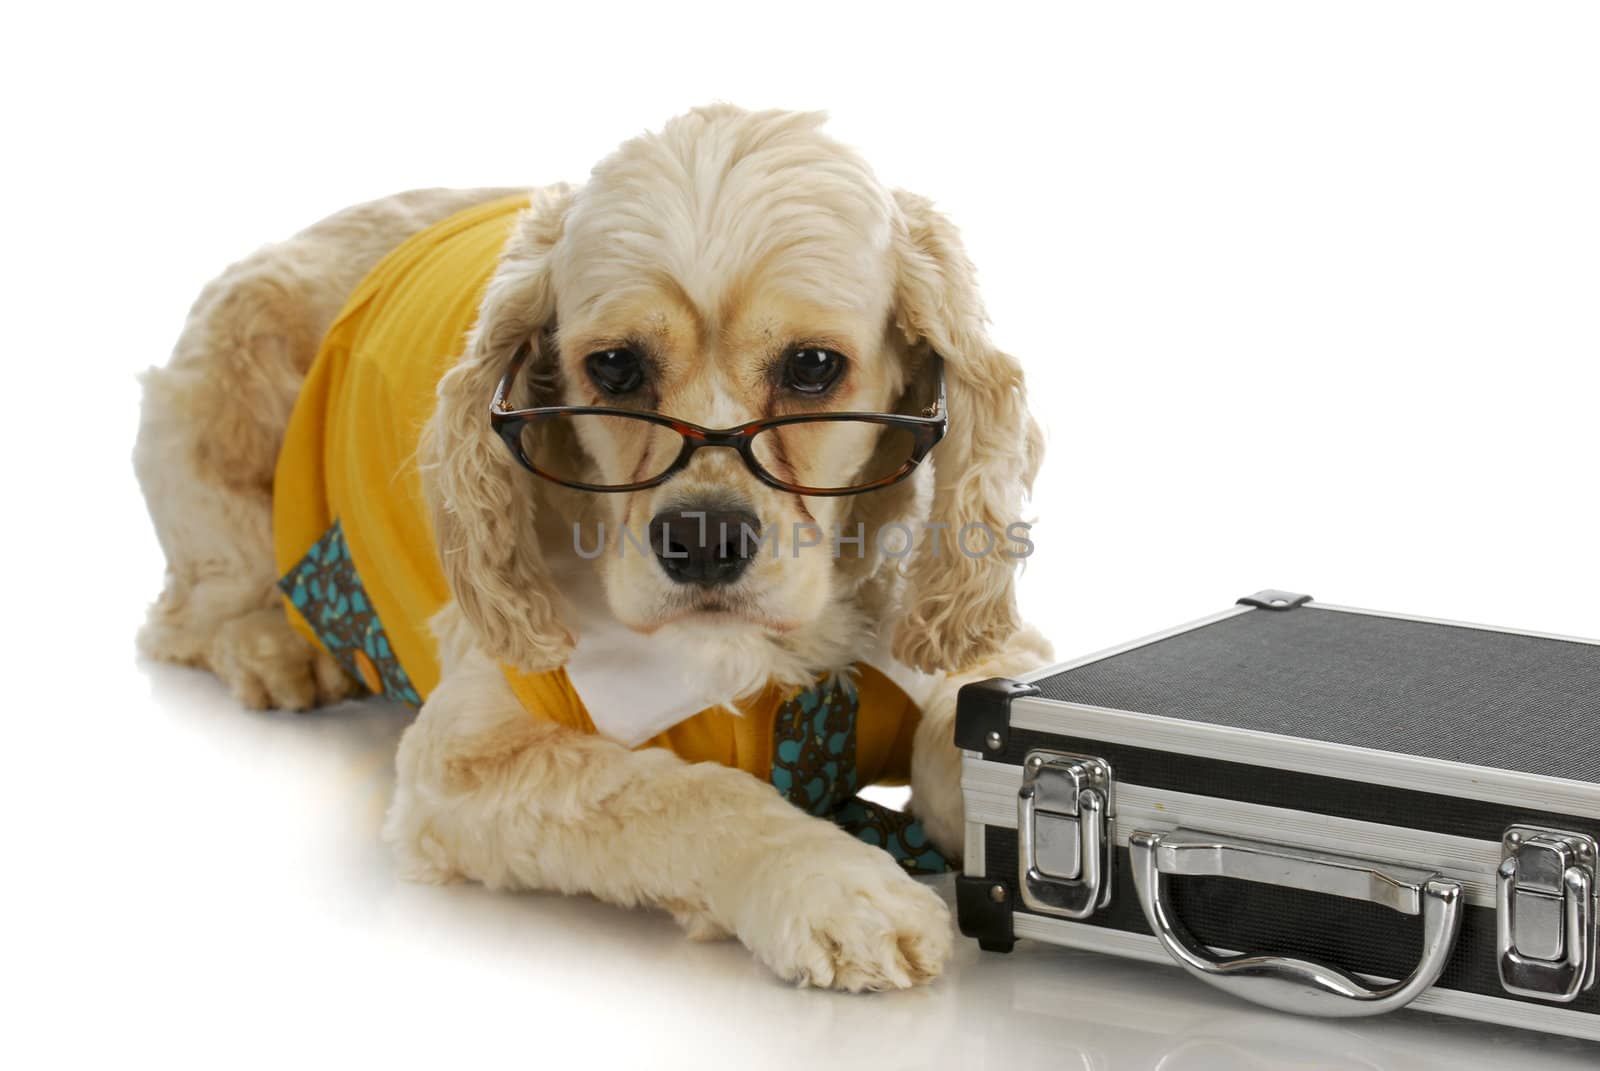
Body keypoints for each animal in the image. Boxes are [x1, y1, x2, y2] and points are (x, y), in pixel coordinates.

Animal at [134, 104, 1049, 992]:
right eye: (613, 367)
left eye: (814, 366)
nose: (703, 540)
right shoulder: (460, 763)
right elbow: (687, 793)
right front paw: (836, 886)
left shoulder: (983, 653)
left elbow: (958, 733)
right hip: (212, 404)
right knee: (193, 606)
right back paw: (278, 647)